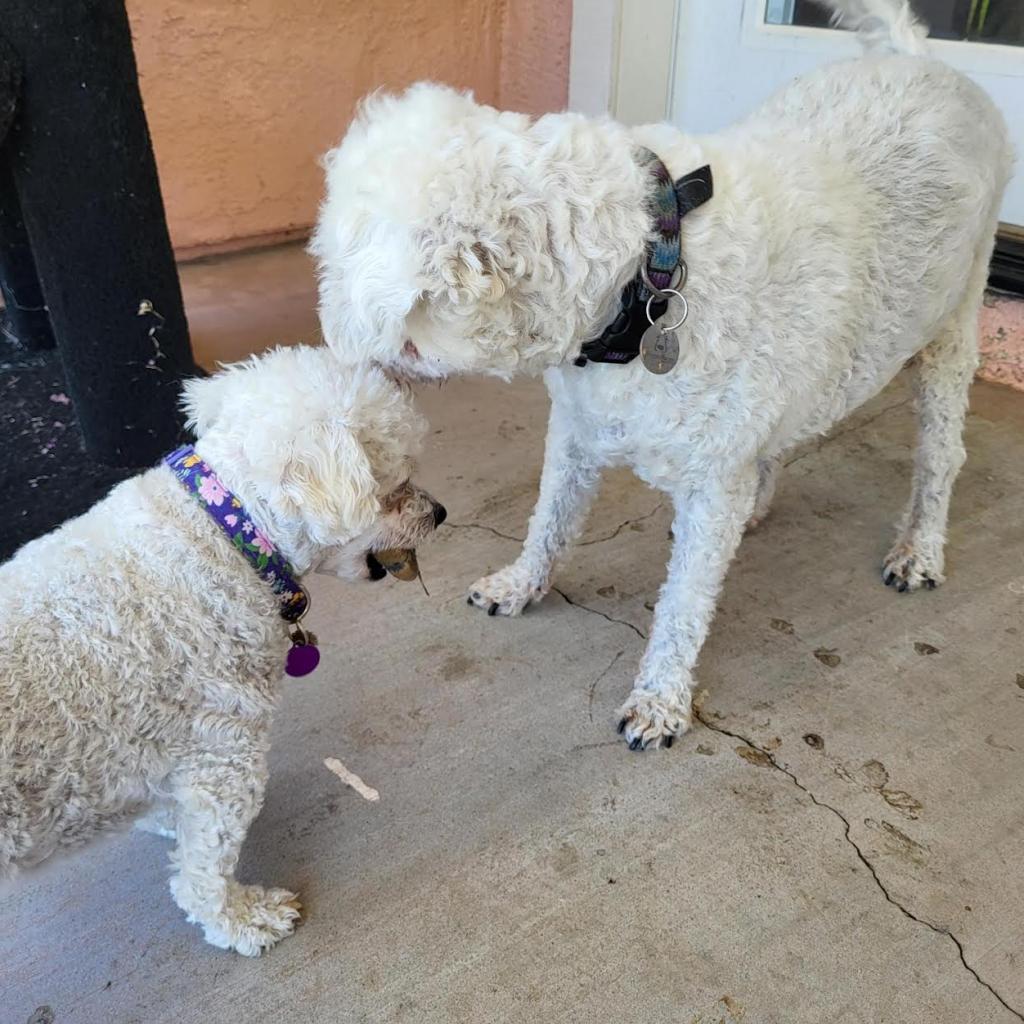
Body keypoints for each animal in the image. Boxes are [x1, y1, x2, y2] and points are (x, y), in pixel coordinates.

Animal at [2, 342, 446, 950]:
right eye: (395, 486)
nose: (440, 513)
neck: (226, 532)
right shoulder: (225, 755)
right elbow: (202, 872)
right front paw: (240, 920)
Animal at [309, 2, 1007, 753]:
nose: (343, 365)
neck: (644, 277)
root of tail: (922, 61)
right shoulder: (578, 431)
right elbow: (548, 520)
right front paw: (522, 584)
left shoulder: (709, 484)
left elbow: (684, 605)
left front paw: (662, 698)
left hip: (952, 330)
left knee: (940, 458)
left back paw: (919, 549)